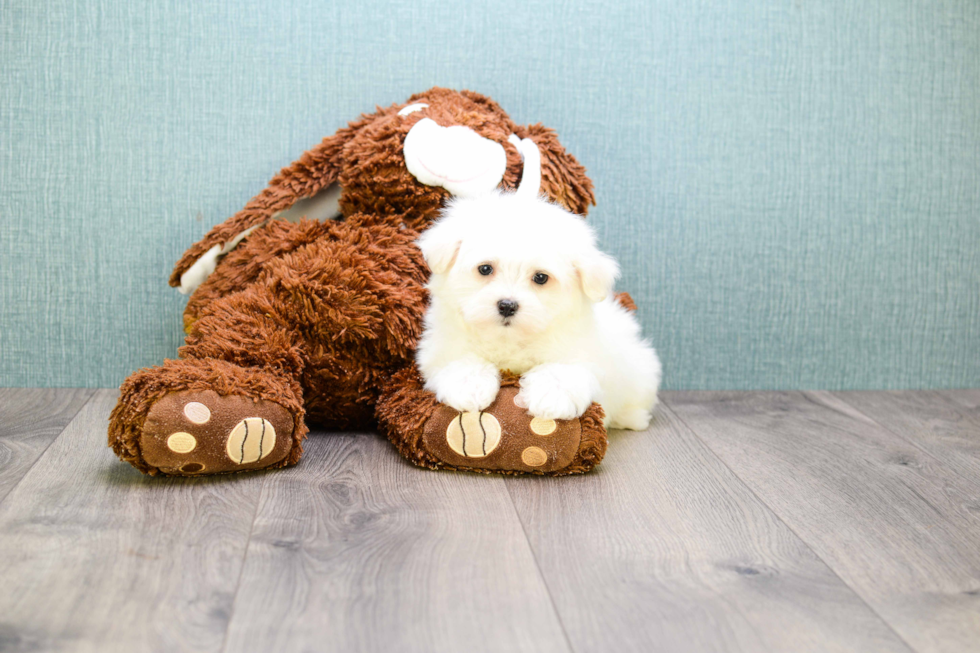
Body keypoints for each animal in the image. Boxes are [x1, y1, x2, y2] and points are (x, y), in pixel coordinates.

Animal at [418, 191, 664, 430]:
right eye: (485, 268)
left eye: (541, 278)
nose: (507, 305)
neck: (508, 339)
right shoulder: (442, 345)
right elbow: (460, 359)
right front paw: (469, 386)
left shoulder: (584, 352)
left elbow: (562, 369)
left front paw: (550, 398)